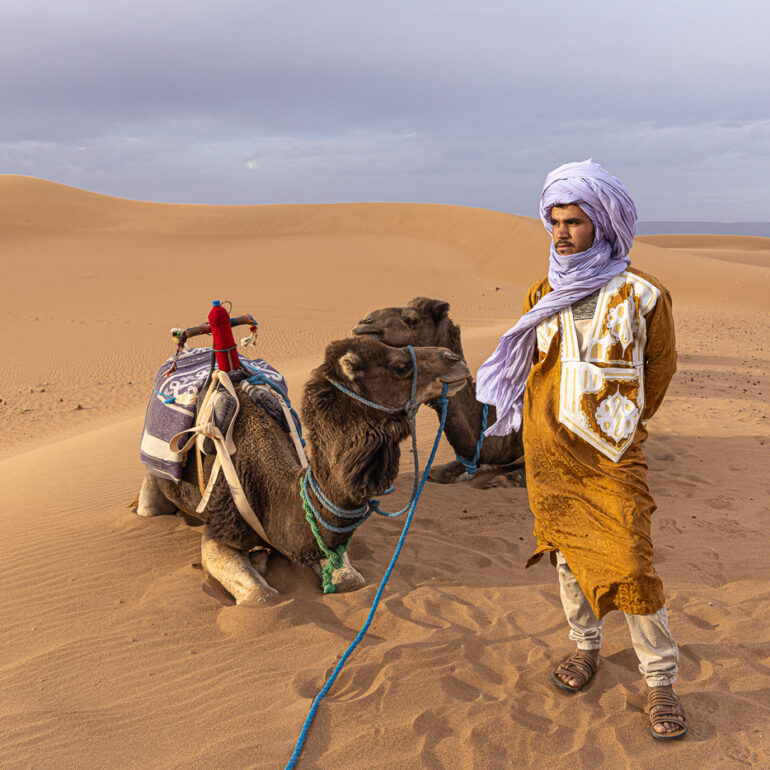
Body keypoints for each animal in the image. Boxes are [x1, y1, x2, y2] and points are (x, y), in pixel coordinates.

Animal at [134, 336, 469, 603]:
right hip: (154, 482)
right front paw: (259, 562)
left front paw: (262, 558)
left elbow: (350, 579)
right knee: (149, 505)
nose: (455, 359)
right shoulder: (221, 525)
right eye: (400, 367)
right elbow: (261, 596)